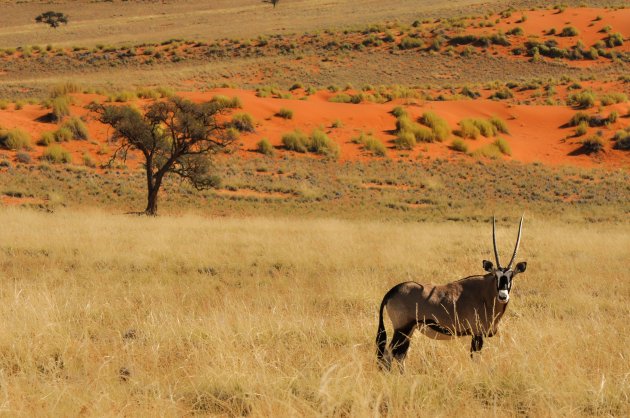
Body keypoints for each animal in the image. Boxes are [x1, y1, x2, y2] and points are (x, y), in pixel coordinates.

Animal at [378, 216, 532, 370]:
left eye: (511, 276)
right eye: (496, 276)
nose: (503, 296)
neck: (486, 294)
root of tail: (392, 291)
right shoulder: (476, 334)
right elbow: (475, 358)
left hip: (408, 331)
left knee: (400, 355)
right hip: (401, 329)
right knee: (388, 354)